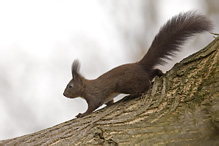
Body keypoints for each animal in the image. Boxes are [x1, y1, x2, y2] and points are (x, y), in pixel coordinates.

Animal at [63, 11, 212, 118]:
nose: (64, 94)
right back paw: (159, 73)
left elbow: (92, 106)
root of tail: (140, 65)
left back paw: (142, 91)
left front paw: (82, 114)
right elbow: (109, 102)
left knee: (146, 83)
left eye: (70, 86)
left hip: (126, 83)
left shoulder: (94, 95)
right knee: (152, 72)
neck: (85, 87)